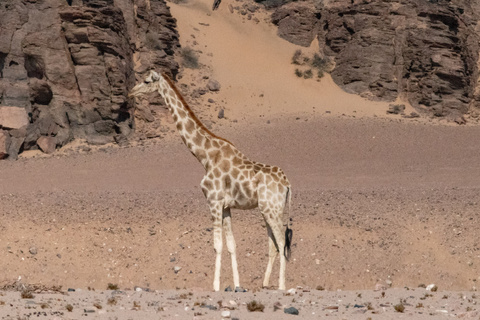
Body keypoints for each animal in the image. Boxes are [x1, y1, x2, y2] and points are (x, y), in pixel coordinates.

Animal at [128, 71, 292, 292]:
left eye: (146, 81)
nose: (131, 92)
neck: (204, 156)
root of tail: (287, 184)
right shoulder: (226, 206)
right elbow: (231, 245)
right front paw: (237, 284)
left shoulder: (213, 201)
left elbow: (217, 245)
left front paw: (215, 286)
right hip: (269, 210)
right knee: (274, 244)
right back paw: (265, 284)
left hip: (271, 209)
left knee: (282, 241)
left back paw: (282, 285)